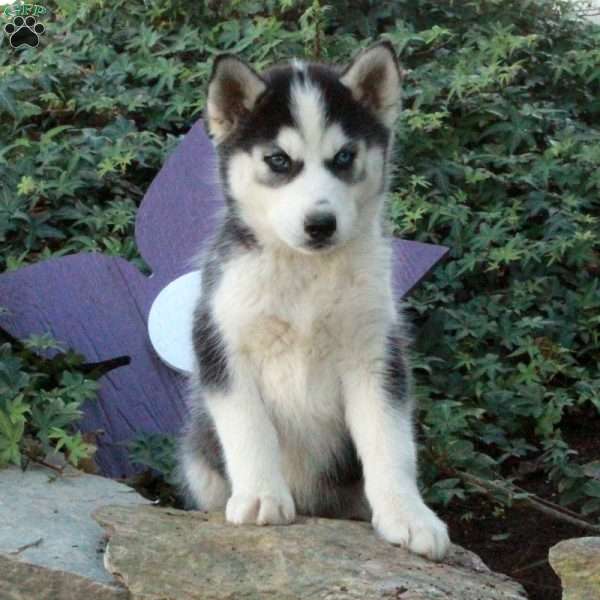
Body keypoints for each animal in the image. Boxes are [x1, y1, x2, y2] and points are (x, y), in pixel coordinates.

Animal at [179, 43, 450, 564]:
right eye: (279, 160)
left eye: (344, 157)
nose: (320, 224)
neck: (306, 273)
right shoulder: (221, 339)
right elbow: (248, 426)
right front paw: (261, 495)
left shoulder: (375, 352)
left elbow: (390, 443)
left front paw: (409, 516)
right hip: (199, 463)